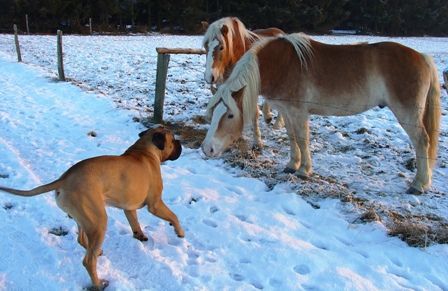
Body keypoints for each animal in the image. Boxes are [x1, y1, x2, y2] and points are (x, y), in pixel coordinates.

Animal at [0, 126, 184, 290]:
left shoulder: (129, 208)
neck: (145, 150)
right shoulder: (155, 204)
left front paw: (140, 235)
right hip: (98, 221)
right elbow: (174, 216)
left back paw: (97, 252)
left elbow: (135, 223)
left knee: (82, 240)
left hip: (85, 218)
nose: (180, 143)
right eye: (173, 140)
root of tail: (64, 179)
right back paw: (98, 283)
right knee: (88, 261)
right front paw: (179, 232)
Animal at [202, 16, 284, 148]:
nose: (210, 76)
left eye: (221, 47)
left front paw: (257, 140)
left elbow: (254, 113)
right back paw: (267, 116)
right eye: (206, 47)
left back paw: (277, 123)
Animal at [203, 33, 440, 195]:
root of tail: (423, 57)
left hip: (407, 114)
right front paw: (292, 165)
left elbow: (302, 139)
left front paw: (304, 170)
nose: (207, 149)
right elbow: (292, 138)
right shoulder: (287, 112)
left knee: (422, 142)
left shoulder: (298, 112)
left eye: (230, 115)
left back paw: (419, 184)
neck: (281, 65)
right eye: (214, 112)